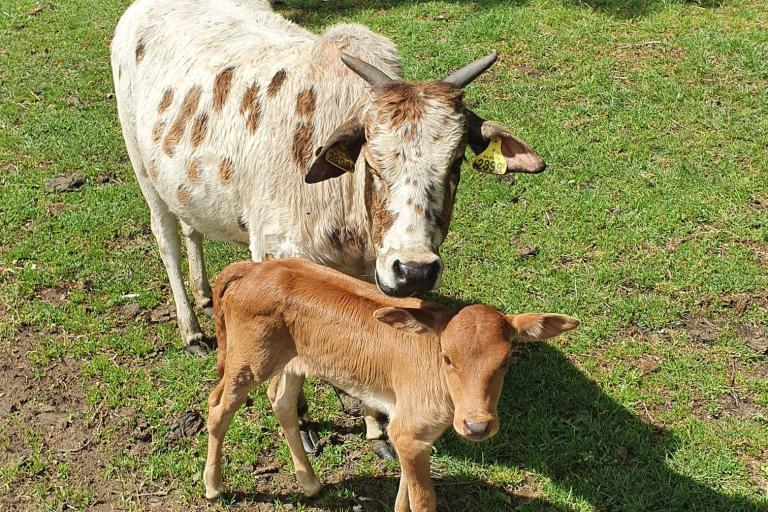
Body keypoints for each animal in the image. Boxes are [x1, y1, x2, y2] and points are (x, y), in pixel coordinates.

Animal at [204, 262, 576, 510]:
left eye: (506, 360)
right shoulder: (409, 433)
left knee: (280, 401)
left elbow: (404, 494)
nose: (477, 425)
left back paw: (309, 482)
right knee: (217, 408)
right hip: (249, 360)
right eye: (447, 357)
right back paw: (214, 486)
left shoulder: (410, 432)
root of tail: (254, 268)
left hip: (295, 360)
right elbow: (423, 499)